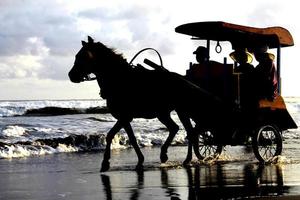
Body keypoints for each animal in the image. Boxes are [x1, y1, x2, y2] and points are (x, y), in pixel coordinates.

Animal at [68, 36, 230, 172]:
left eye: (82, 56)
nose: (71, 76)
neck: (120, 80)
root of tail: (185, 80)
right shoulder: (125, 118)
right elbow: (132, 139)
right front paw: (139, 161)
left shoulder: (124, 116)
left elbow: (110, 135)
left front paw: (105, 163)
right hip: (164, 113)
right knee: (178, 129)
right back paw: (171, 156)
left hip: (180, 110)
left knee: (189, 132)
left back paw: (184, 158)